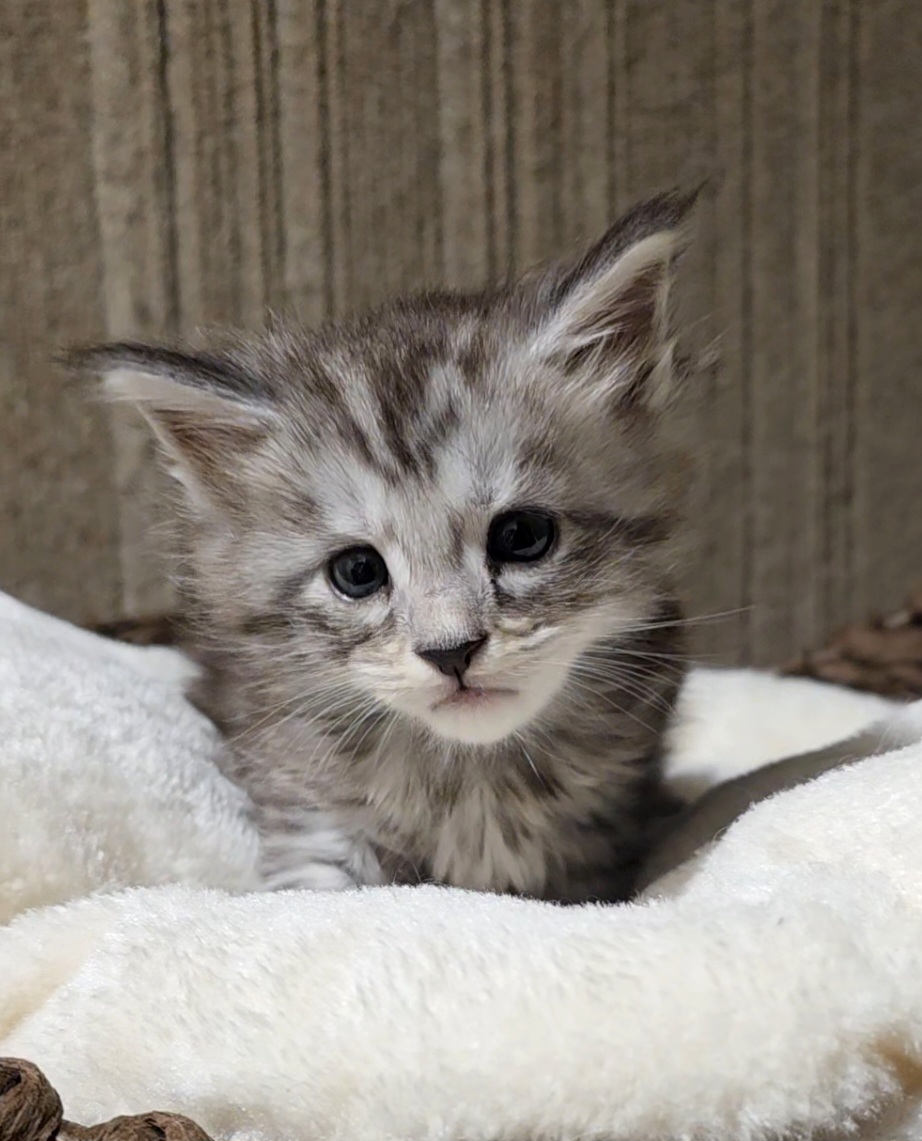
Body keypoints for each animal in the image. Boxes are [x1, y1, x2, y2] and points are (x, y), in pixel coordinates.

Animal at [69, 188, 699, 904]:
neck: (474, 785)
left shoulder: (599, 845)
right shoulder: (309, 813)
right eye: (358, 571)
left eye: (521, 537)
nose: (451, 652)